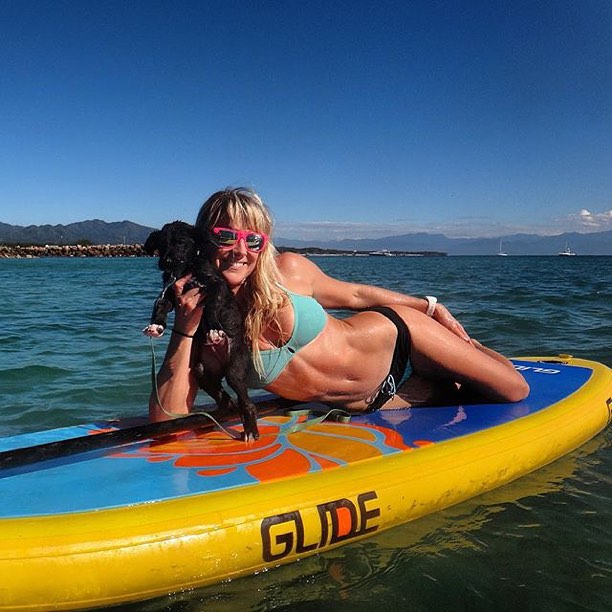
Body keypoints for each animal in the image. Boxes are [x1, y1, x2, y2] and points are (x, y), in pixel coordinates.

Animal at [143, 220, 258, 440]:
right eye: (161, 244)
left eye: (180, 242)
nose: (166, 261)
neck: (187, 268)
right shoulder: (169, 292)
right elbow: (159, 306)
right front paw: (156, 325)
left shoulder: (215, 286)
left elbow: (212, 304)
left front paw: (213, 329)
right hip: (202, 372)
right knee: (226, 398)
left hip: (234, 367)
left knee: (246, 402)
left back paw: (251, 430)